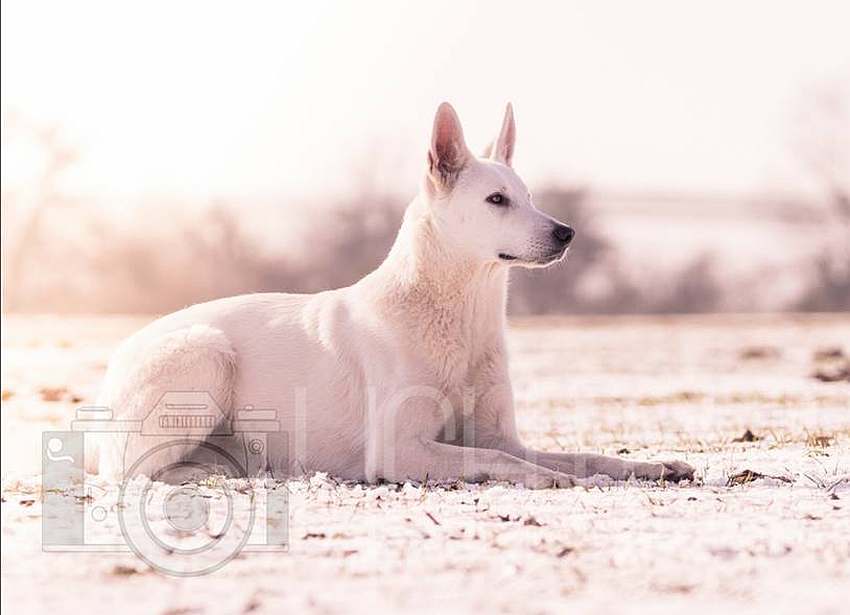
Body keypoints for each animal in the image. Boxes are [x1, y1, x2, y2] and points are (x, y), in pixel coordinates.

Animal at [89, 103, 692, 488]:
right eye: (497, 200)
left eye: (529, 197)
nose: (567, 233)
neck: (459, 315)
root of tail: (115, 359)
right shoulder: (402, 449)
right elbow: (507, 463)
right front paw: (558, 480)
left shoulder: (503, 436)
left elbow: (581, 454)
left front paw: (650, 467)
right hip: (206, 352)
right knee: (130, 472)